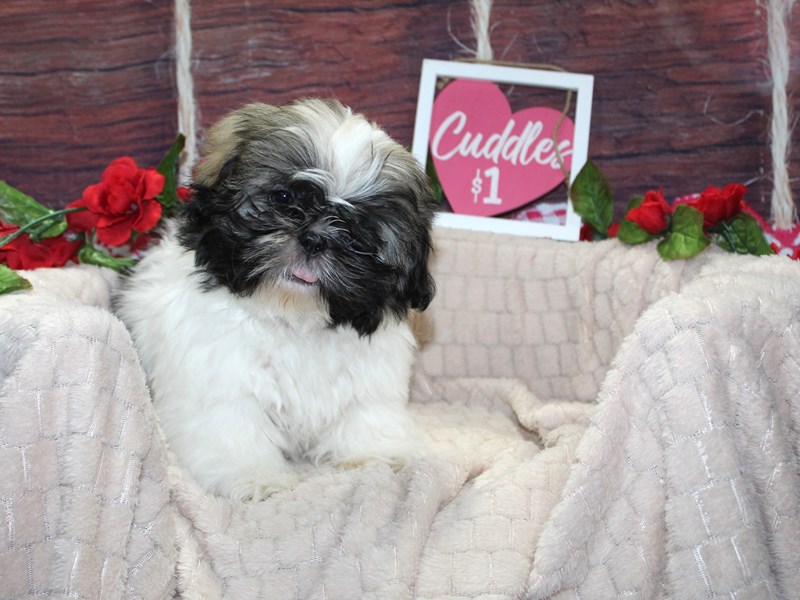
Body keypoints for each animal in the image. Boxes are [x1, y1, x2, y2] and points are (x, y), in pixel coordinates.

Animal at [114, 99, 437, 500]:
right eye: (283, 199)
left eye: (359, 230)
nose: (315, 238)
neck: (293, 317)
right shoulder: (222, 383)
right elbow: (234, 430)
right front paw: (253, 476)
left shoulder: (371, 379)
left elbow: (366, 413)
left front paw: (376, 453)